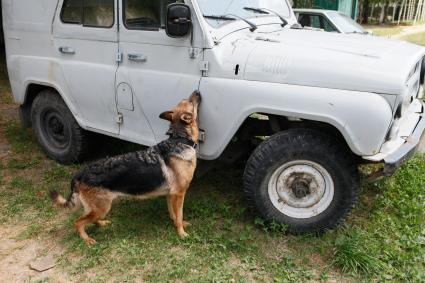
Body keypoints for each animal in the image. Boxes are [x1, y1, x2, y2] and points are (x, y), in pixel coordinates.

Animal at [51, 92, 200, 245]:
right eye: (189, 101)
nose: (196, 92)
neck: (179, 139)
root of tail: (80, 174)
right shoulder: (179, 194)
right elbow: (179, 214)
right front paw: (181, 233)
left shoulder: (171, 194)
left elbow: (174, 214)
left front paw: (176, 224)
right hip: (102, 207)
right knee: (78, 222)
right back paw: (87, 239)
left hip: (98, 208)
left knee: (89, 218)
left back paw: (101, 223)